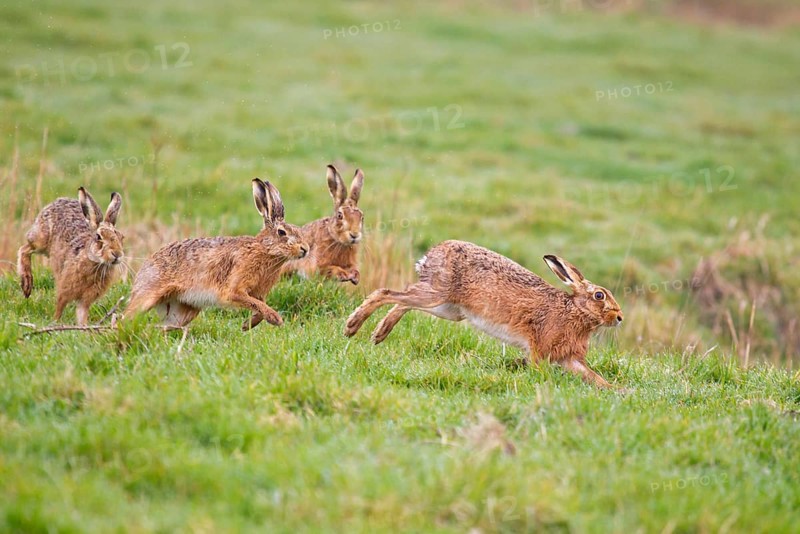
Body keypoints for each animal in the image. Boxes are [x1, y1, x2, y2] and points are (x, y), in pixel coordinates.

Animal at [17, 187, 124, 326]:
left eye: (122, 238)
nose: (117, 254)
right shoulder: (65, 289)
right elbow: (60, 305)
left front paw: (83, 326)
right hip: (40, 241)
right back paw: (27, 283)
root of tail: (59, 201)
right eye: (98, 237)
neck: (96, 263)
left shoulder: (85, 300)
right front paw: (55, 322)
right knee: (24, 249)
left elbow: (82, 313)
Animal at [125, 178, 309, 331]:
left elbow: (258, 306)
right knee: (126, 316)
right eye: (282, 232)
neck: (264, 250)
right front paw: (275, 318)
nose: (305, 249)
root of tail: (145, 266)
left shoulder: (258, 293)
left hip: (183, 311)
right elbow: (252, 302)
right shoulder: (235, 288)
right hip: (149, 295)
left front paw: (247, 326)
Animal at [344, 240, 624, 388]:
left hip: (447, 307)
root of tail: (432, 253)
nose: (620, 317)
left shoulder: (569, 358)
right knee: (386, 293)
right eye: (599, 296)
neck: (575, 312)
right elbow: (538, 368)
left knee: (403, 301)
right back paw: (352, 326)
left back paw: (380, 333)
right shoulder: (540, 349)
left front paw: (617, 390)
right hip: (437, 295)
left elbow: (593, 376)